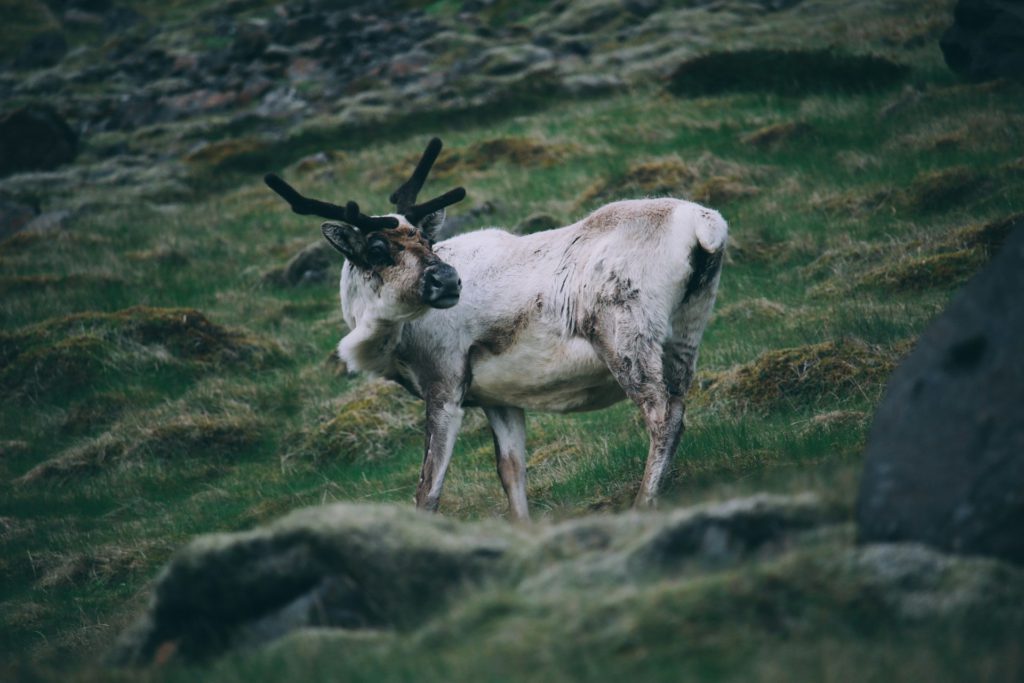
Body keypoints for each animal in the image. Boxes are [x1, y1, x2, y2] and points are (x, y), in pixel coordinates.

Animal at [264, 138, 727, 521]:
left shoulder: (445, 382)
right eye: (378, 248)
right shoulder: (498, 398)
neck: (391, 339)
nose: (448, 280)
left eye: (425, 241)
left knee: (661, 413)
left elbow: (427, 489)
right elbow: (511, 471)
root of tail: (706, 225)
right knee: (679, 404)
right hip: (685, 333)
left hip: (624, 334)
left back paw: (644, 502)